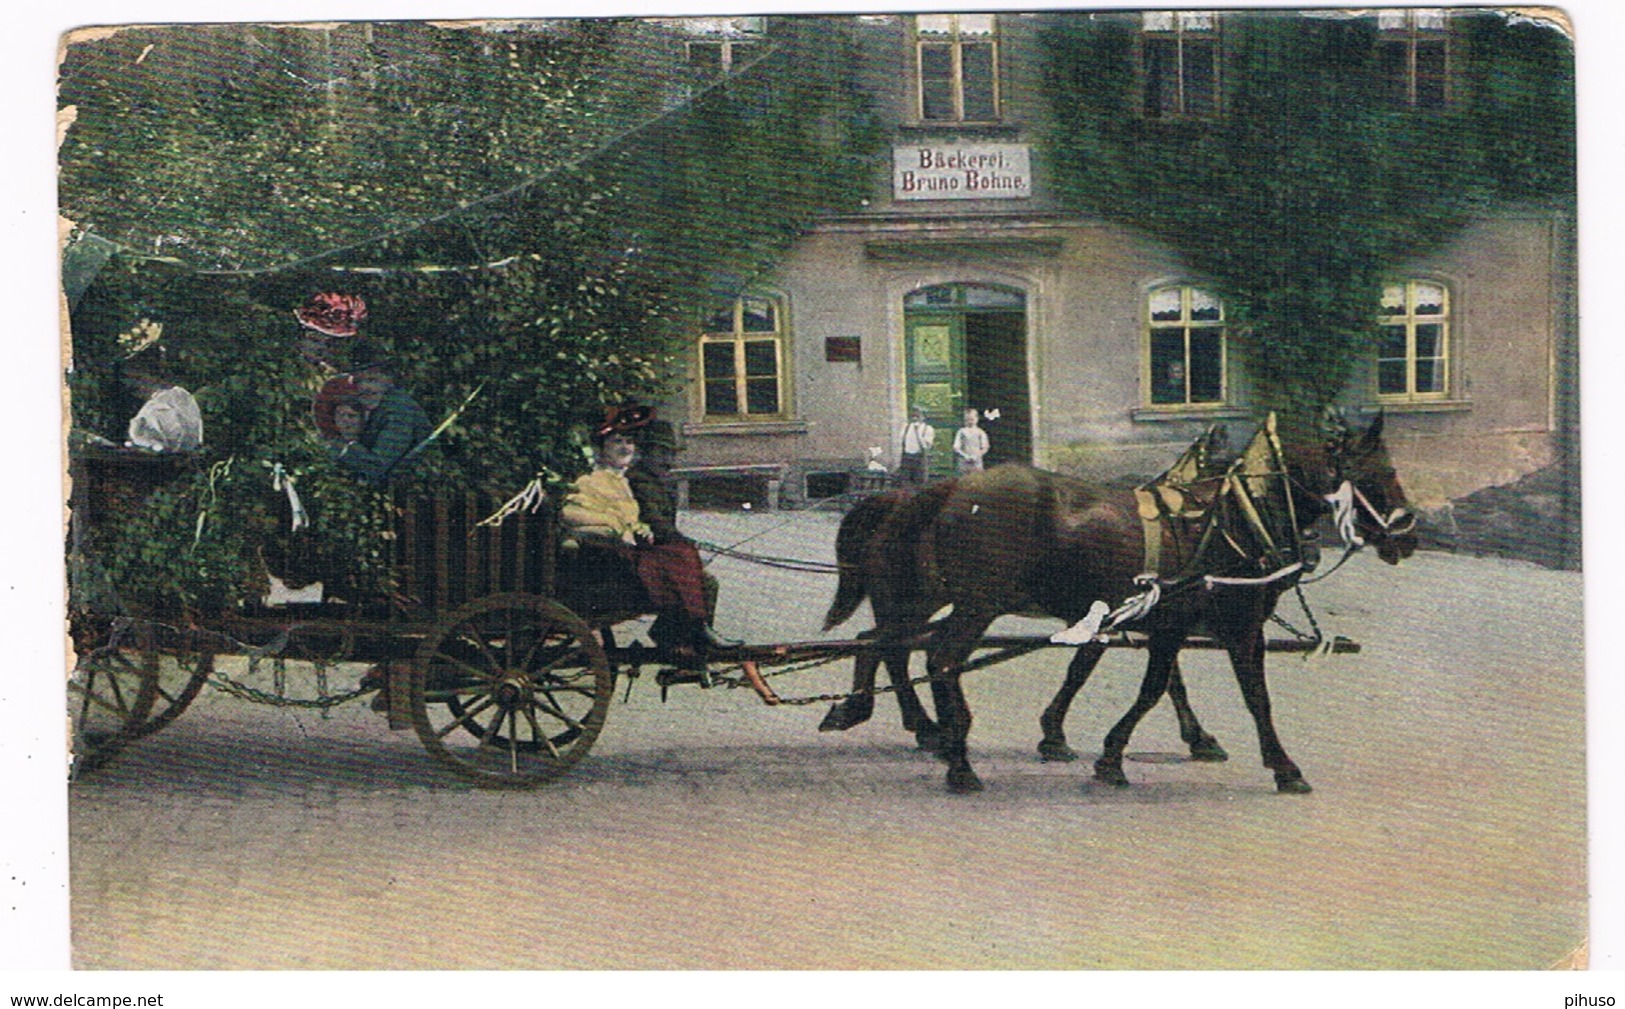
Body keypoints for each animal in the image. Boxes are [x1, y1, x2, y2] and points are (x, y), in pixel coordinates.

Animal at [819, 412, 1417, 789]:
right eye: (1381, 475)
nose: (1408, 536)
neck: (1232, 518)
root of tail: (942, 491)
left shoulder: (1167, 622)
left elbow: (1152, 684)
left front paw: (1107, 750)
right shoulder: (1238, 625)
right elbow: (1253, 698)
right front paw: (1284, 766)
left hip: (925, 596)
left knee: (883, 642)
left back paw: (898, 720)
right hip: (973, 604)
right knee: (936, 657)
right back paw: (955, 756)